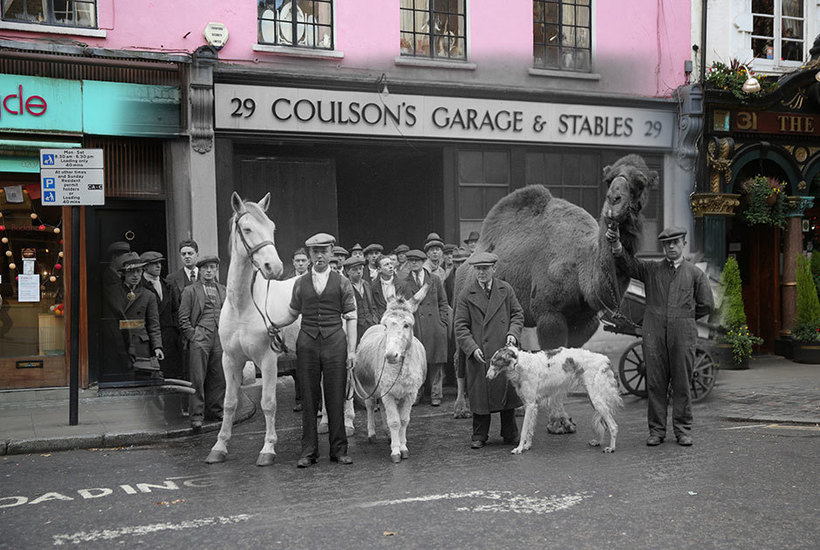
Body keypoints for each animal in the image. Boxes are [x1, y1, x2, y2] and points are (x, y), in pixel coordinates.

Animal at [205, 192, 298, 468]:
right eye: (247, 229)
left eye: (272, 227)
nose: (274, 267)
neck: (243, 307)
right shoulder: (230, 360)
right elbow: (229, 403)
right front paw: (219, 446)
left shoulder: (267, 360)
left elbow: (268, 403)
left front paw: (268, 448)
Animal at [352, 286, 430, 464]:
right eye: (386, 325)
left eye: (407, 325)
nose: (390, 355)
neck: (400, 368)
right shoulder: (388, 393)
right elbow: (394, 422)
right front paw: (395, 451)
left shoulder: (409, 394)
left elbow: (403, 421)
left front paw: (403, 447)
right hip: (370, 388)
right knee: (370, 406)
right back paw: (372, 434)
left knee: (382, 409)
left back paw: (388, 435)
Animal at [454, 153, 660, 434]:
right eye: (608, 180)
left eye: (641, 183)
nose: (614, 200)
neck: (582, 264)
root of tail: (462, 264)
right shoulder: (550, 314)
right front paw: (558, 421)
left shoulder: (585, 320)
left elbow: (567, 359)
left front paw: (561, 419)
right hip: (459, 306)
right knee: (461, 356)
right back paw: (461, 409)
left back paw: (517, 408)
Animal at [486, 348, 620, 454]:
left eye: (493, 362)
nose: (487, 377)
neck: (519, 364)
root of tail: (606, 360)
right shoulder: (532, 405)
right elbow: (530, 430)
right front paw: (527, 446)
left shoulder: (530, 404)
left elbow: (524, 430)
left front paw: (519, 449)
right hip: (595, 400)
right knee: (604, 425)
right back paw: (598, 441)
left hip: (596, 399)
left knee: (613, 426)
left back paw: (611, 448)